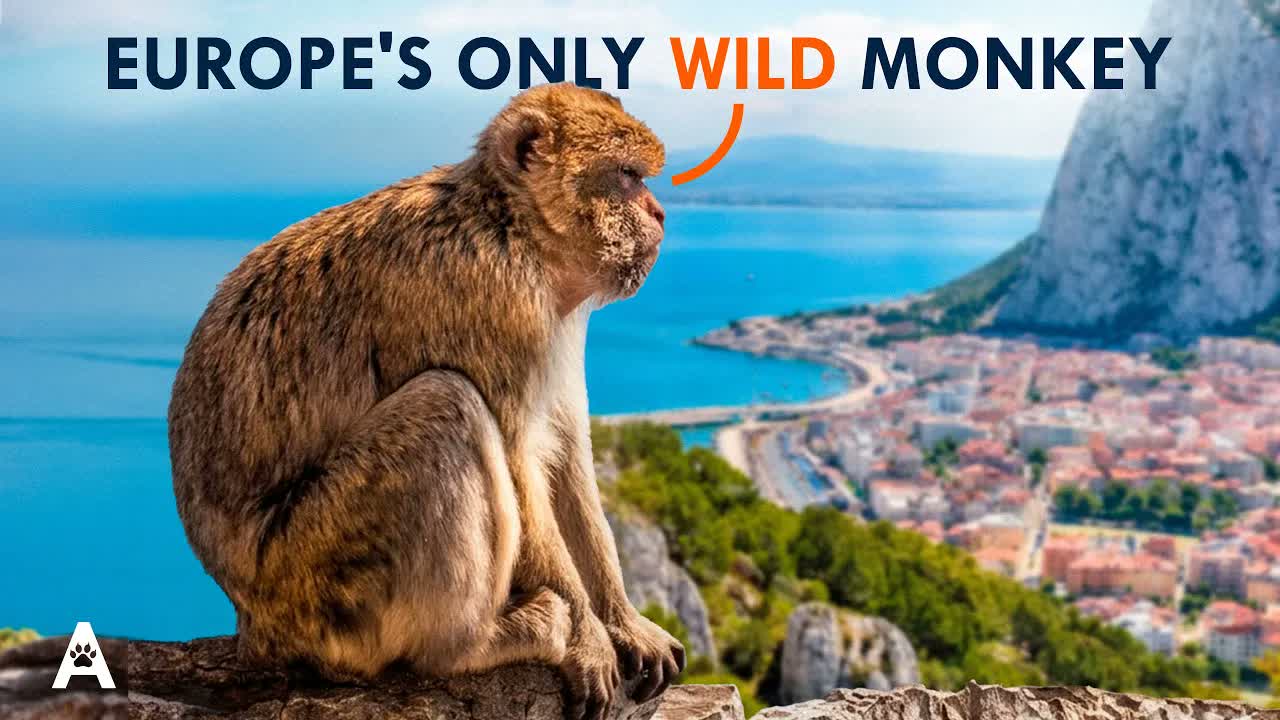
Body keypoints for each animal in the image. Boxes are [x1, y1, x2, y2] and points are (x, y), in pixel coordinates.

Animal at [167, 83, 683, 720]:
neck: (511, 227)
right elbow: (521, 465)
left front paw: (625, 622)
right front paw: (589, 640)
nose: (659, 214)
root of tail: (252, 624)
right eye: (627, 177)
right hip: (314, 581)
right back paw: (472, 645)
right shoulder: (493, 300)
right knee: (447, 404)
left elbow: (566, 456)